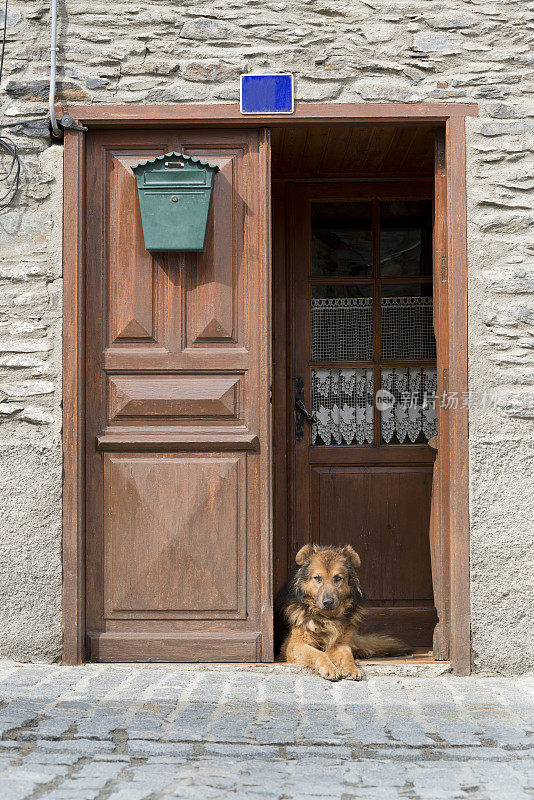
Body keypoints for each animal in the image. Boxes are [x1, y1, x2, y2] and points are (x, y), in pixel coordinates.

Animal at [276, 544, 410, 680]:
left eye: (338, 578)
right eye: (317, 578)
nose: (328, 602)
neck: (327, 618)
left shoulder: (340, 643)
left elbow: (347, 654)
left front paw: (352, 669)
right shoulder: (294, 645)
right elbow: (318, 654)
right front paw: (330, 668)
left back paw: (362, 651)